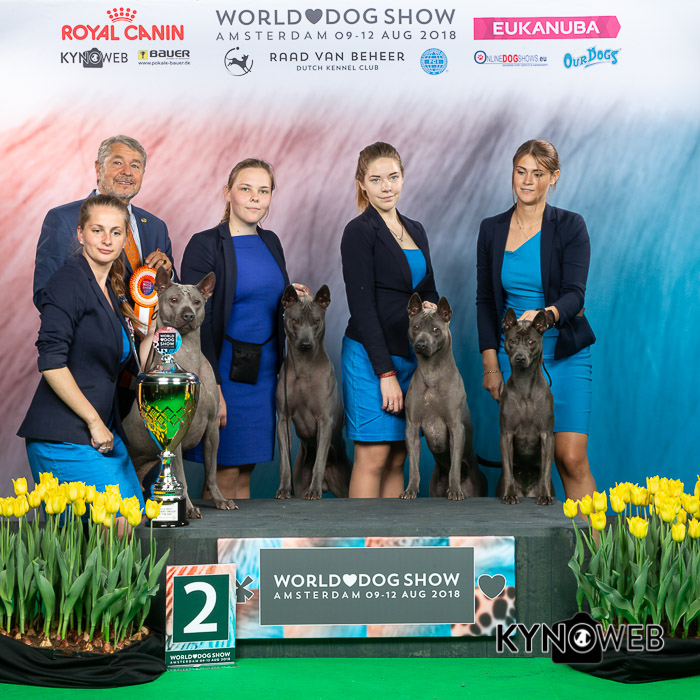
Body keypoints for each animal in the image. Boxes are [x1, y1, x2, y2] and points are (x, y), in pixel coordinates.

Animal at [123, 266, 237, 517]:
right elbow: (182, 477)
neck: (189, 356)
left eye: (197, 302)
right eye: (173, 300)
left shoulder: (212, 428)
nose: (188, 316)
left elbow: (212, 472)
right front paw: (189, 508)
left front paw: (220, 500)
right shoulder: (175, 436)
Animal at [275, 284, 351, 500]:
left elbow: (319, 461)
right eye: (295, 320)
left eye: (316, 321)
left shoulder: (324, 419)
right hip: (301, 479)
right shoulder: (283, 419)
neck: (303, 368)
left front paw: (314, 491)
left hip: (344, 487)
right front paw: (283, 489)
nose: (306, 345)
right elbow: (284, 461)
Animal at [401, 293, 487, 500]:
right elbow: (414, 466)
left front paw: (455, 490)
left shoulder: (455, 427)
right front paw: (410, 490)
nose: (421, 344)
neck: (432, 372)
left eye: (435, 330)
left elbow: (454, 464)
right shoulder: (412, 428)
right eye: (416, 327)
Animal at [498, 308, 555, 505]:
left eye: (531, 342)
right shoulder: (506, 435)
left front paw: (545, 496)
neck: (525, 388)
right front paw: (509, 494)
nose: (520, 358)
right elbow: (508, 468)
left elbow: (546, 471)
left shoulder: (547, 435)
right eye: (512, 341)